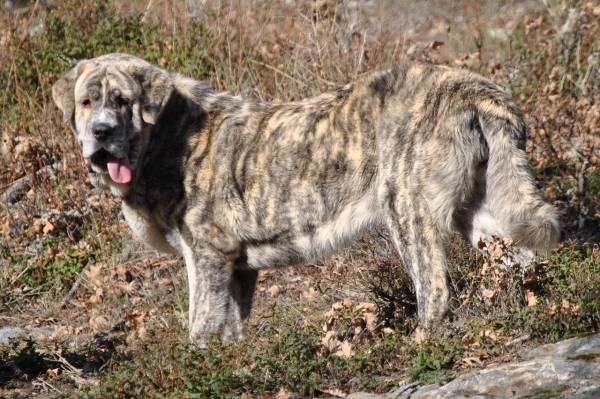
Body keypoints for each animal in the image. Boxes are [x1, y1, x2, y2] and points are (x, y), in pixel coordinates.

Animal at [54, 54, 560, 344]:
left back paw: (422, 342)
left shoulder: (207, 255)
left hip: (407, 208)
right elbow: (231, 326)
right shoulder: (237, 267)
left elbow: (200, 323)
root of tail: (478, 88)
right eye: (86, 102)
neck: (168, 137)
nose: (101, 132)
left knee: (434, 289)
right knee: (521, 260)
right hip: (481, 211)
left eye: (122, 100)